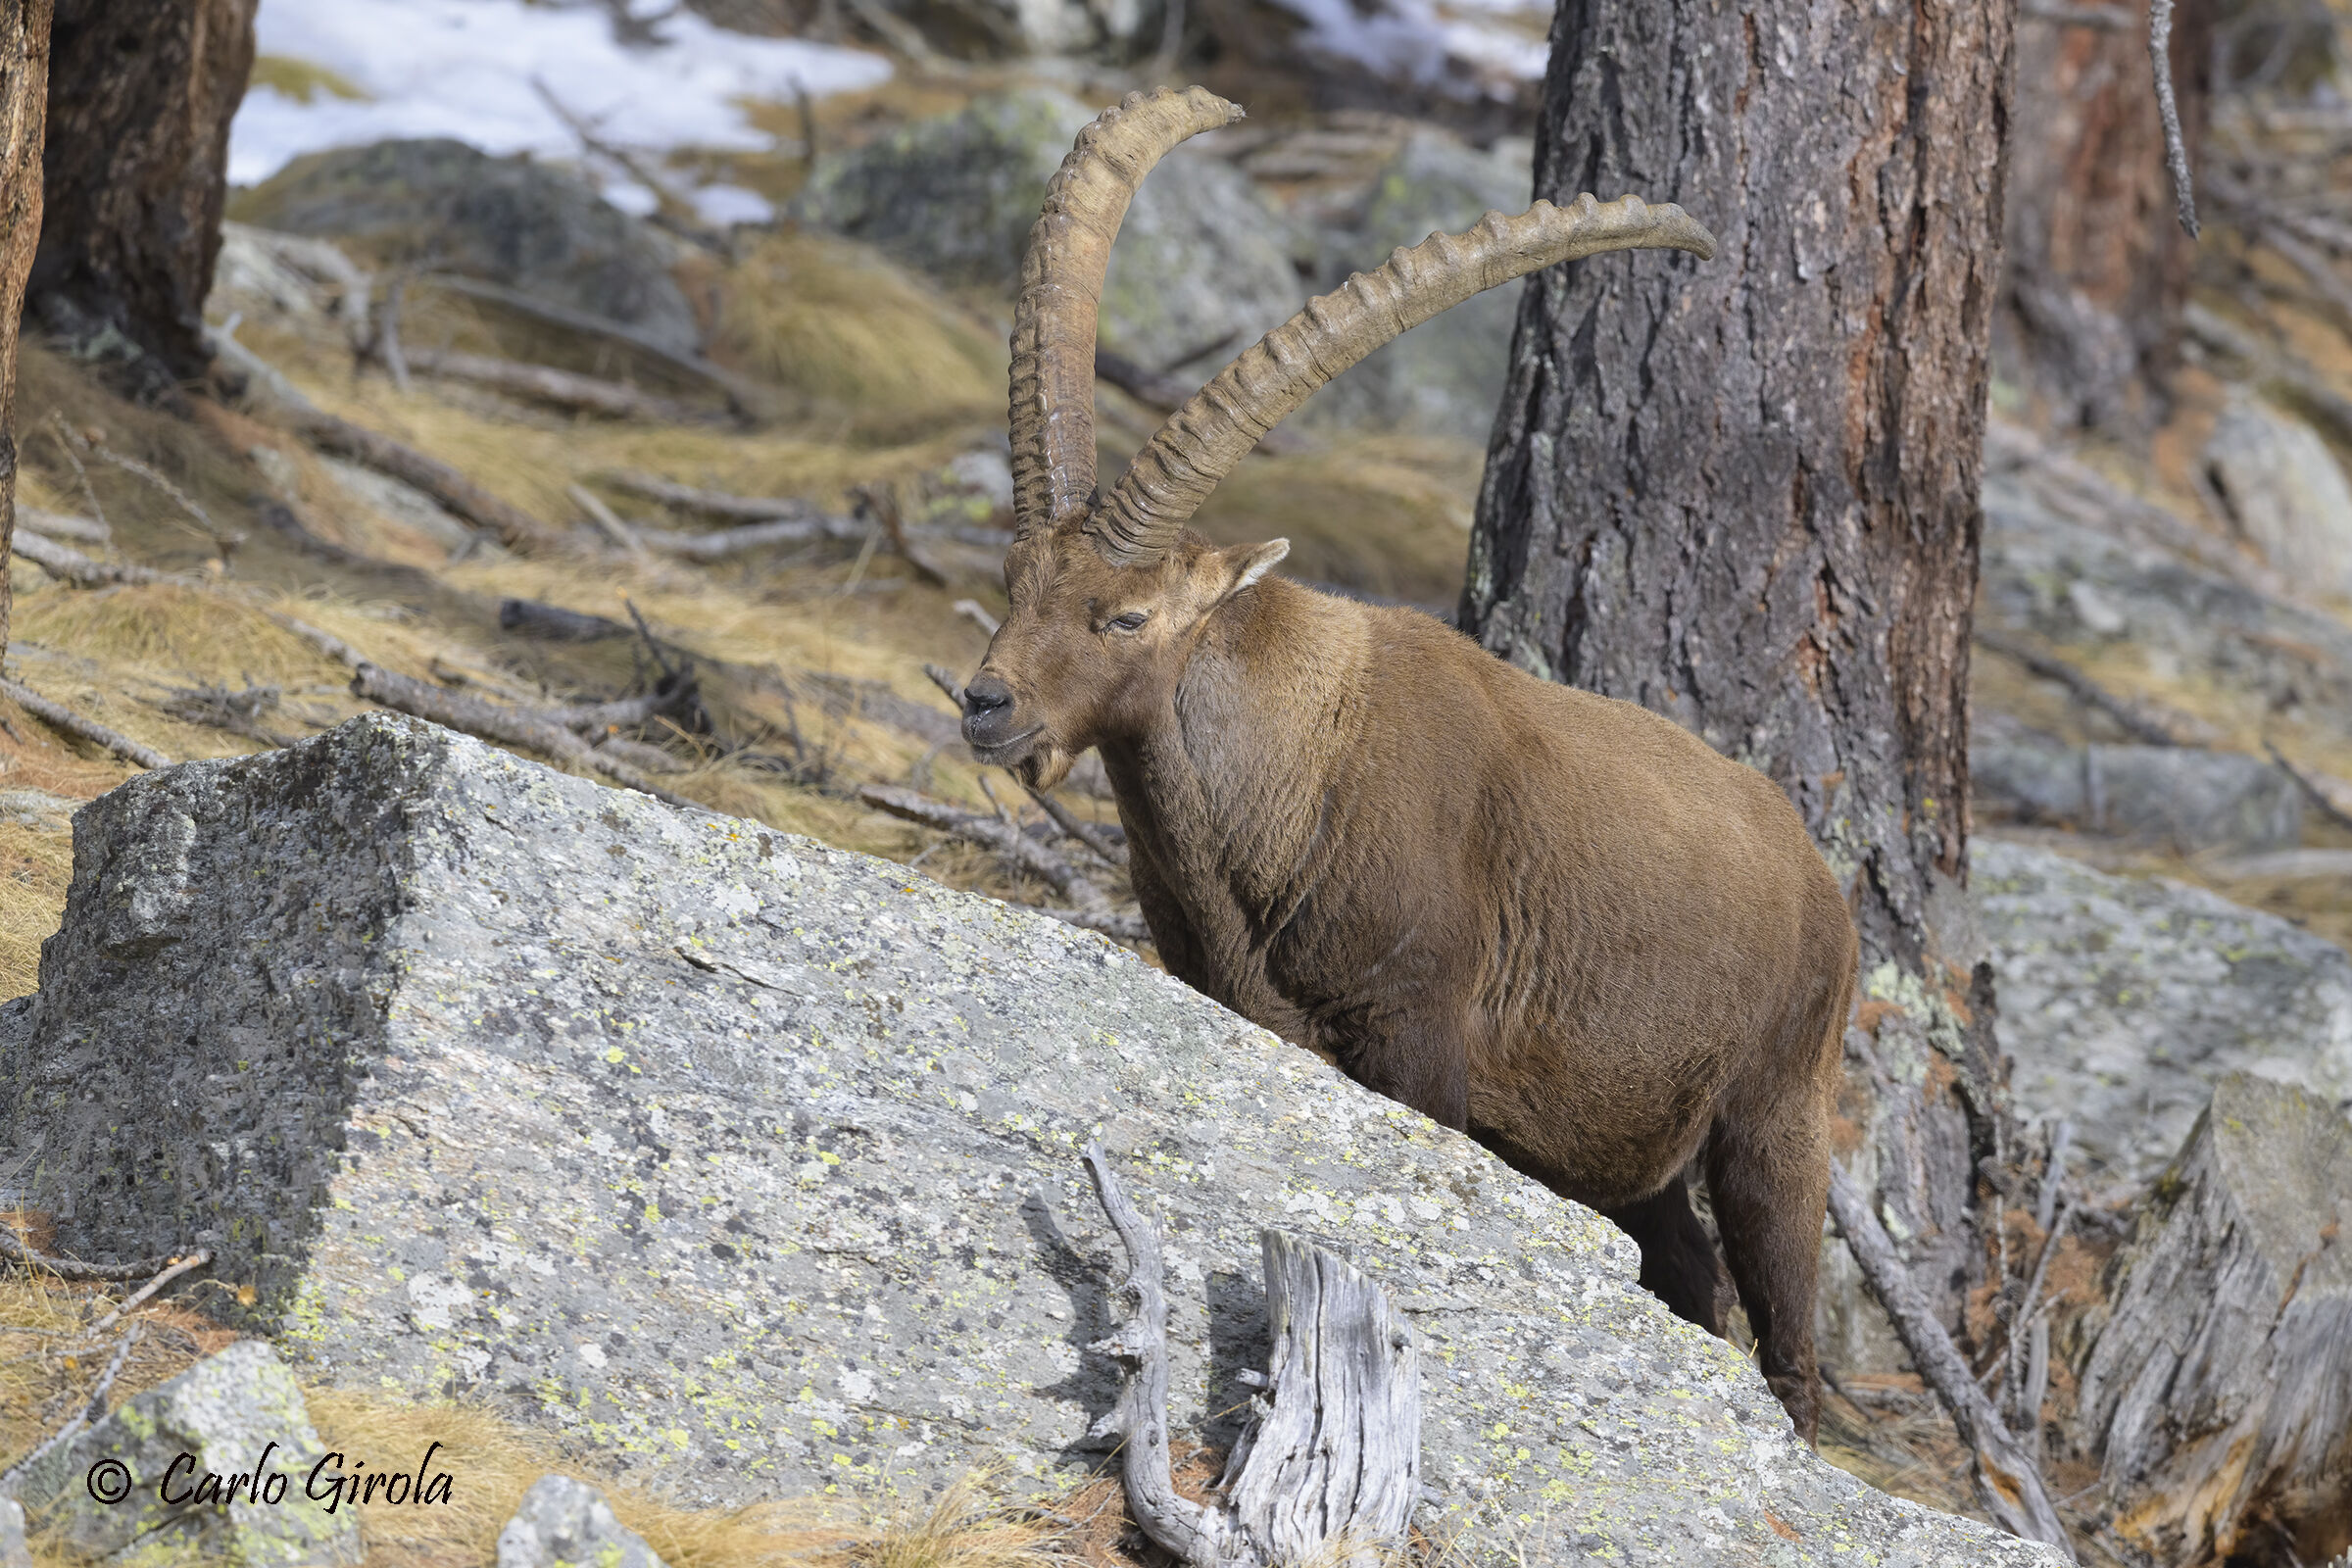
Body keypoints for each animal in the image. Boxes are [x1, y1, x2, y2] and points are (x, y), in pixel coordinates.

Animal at [960, 87, 1859, 1442]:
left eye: (1124, 616)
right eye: (1016, 579)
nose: (985, 703)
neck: (1291, 766)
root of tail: (1822, 879)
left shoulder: (1418, 1040)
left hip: (1776, 1109)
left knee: (1788, 1332)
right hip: (1611, 1143)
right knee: (1688, 1275)